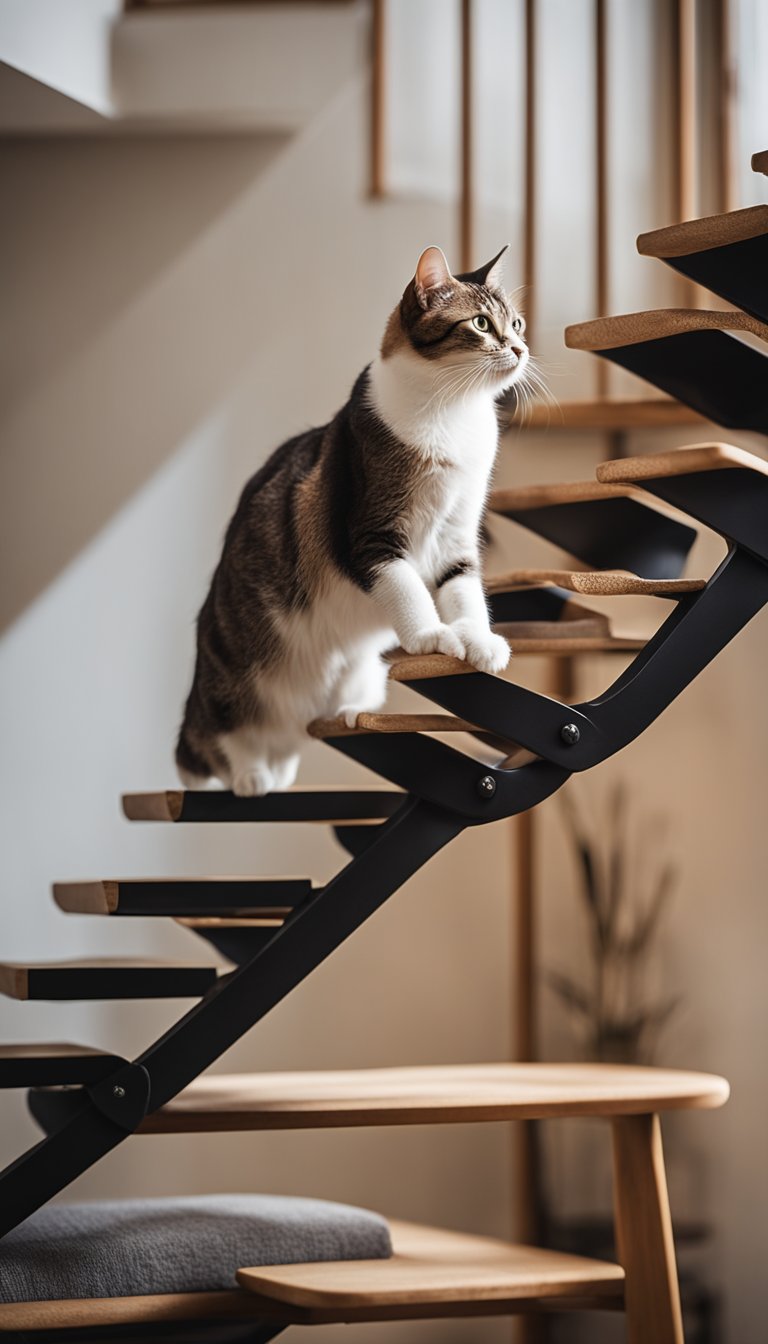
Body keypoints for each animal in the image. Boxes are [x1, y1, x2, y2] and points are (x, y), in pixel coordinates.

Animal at [177, 245, 532, 790]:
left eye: (516, 322)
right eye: (480, 323)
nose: (519, 348)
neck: (454, 412)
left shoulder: (457, 533)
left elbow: (464, 588)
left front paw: (479, 640)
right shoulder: (368, 531)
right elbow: (406, 590)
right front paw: (432, 637)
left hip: (359, 677)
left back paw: (344, 718)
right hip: (230, 669)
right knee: (229, 730)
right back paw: (252, 775)